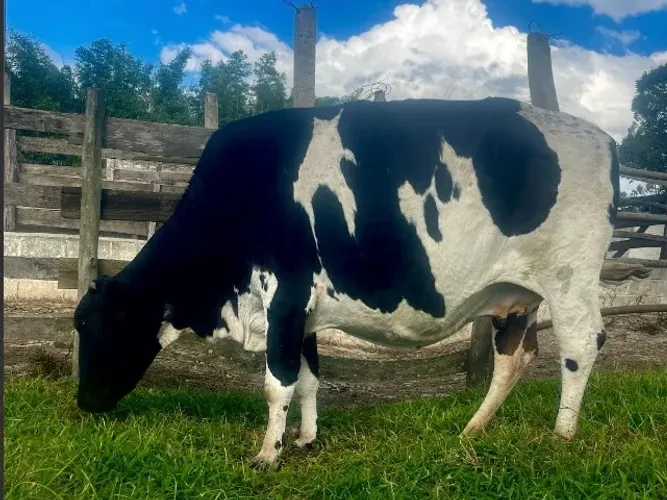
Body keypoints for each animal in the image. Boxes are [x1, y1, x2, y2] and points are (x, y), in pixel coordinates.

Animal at [73, 96, 619, 470]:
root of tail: (600, 137)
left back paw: (562, 434)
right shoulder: (306, 312)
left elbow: (278, 382)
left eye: (94, 328)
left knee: (579, 347)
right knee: (514, 358)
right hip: (517, 294)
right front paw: (306, 438)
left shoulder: (285, 293)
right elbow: (310, 377)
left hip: (569, 277)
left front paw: (268, 454)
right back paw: (473, 429)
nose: (83, 404)